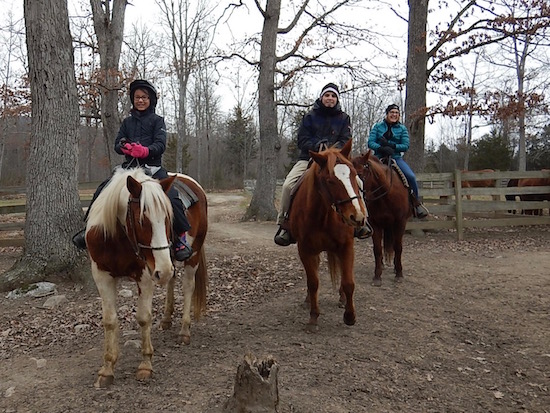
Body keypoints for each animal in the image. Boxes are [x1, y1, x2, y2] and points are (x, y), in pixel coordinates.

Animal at [86, 167, 209, 386]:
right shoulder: (101, 275)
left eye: (169, 217)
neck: (119, 238)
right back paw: (167, 319)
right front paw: (107, 369)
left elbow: (143, 318)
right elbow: (109, 320)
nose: (162, 270)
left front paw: (145, 365)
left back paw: (184, 331)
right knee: (172, 280)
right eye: (141, 220)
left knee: (187, 286)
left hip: (189, 256)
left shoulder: (145, 276)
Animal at [288, 140, 370, 330]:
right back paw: (308, 300)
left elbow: (348, 282)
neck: (323, 216)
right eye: (330, 181)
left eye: (354, 175)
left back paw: (342, 299)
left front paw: (350, 316)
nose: (357, 217)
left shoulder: (347, 246)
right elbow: (313, 282)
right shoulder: (305, 250)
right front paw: (313, 317)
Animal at [354, 151, 414, 286]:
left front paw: (399, 274)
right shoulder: (375, 224)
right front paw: (377, 276)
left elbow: (398, 247)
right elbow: (377, 250)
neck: (386, 193)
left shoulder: (400, 222)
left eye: (359, 174)